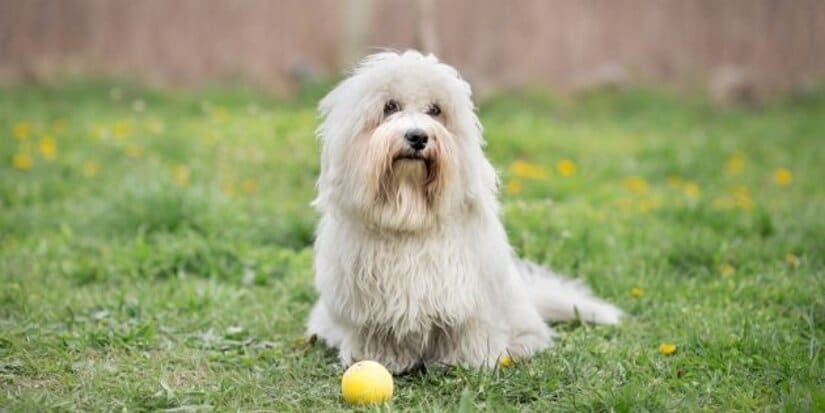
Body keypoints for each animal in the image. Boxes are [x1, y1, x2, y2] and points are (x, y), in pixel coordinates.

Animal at [306, 50, 620, 372]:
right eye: (389, 107)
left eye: (435, 110)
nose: (418, 136)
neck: (410, 214)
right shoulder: (365, 308)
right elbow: (375, 336)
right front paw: (380, 360)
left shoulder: (470, 298)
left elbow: (469, 333)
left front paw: (468, 362)